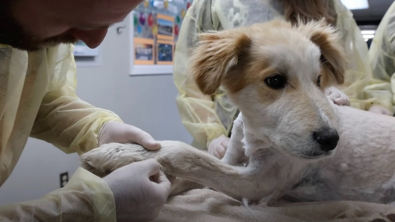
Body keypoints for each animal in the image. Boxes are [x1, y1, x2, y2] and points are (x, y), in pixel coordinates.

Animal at [79, 20, 395, 206]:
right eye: (275, 81)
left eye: (319, 80)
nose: (331, 140)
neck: (255, 133)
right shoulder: (231, 159)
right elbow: (189, 172)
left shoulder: (257, 183)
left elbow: (186, 155)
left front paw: (118, 153)